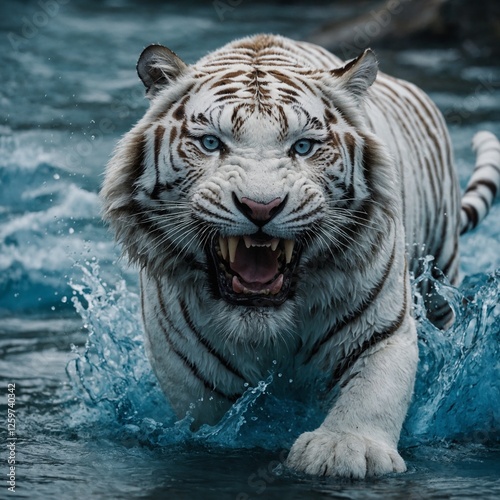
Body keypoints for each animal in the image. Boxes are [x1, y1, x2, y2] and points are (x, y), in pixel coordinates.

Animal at [101, 33, 500, 478]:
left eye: (304, 147)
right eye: (210, 143)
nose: (260, 207)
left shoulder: (381, 327)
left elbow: (373, 390)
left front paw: (347, 447)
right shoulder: (186, 361)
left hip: (439, 280)